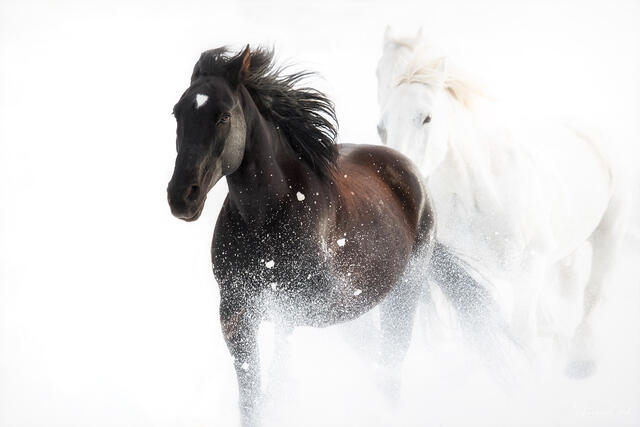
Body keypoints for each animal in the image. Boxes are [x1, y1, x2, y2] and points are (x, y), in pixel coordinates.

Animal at [167, 45, 507, 426]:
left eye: (223, 116)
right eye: (177, 112)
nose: (182, 197)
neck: (268, 217)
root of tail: (411, 173)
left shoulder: (297, 307)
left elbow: (280, 376)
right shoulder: (236, 313)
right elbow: (253, 398)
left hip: (403, 293)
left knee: (389, 365)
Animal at [376, 28, 628, 378]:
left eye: (427, 118)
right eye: (382, 126)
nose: (398, 178)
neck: (480, 198)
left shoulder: (530, 267)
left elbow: (522, 332)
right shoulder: (469, 272)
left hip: (608, 233)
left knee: (592, 295)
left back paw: (581, 361)